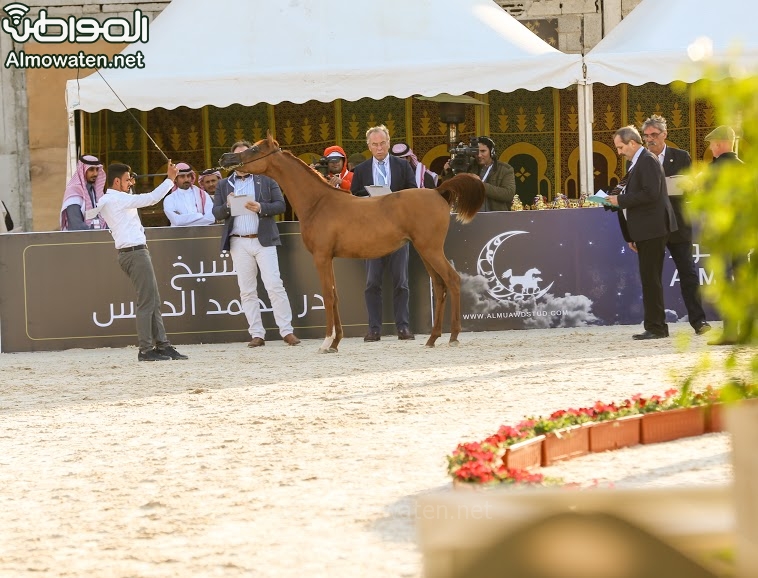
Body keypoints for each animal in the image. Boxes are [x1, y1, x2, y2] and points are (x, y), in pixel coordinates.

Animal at [220, 135, 484, 352]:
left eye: (255, 149)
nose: (226, 157)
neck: (318, 203)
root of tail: (438, 191)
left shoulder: (321, 256)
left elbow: (328, 296)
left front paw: (326, 343)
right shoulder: (329, 257)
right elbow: (335, 296)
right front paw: (336, 343)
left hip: (431, 249)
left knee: (452, 280)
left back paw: (453, 337)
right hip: (424, 251)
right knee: (439, 286)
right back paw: (432, 338)